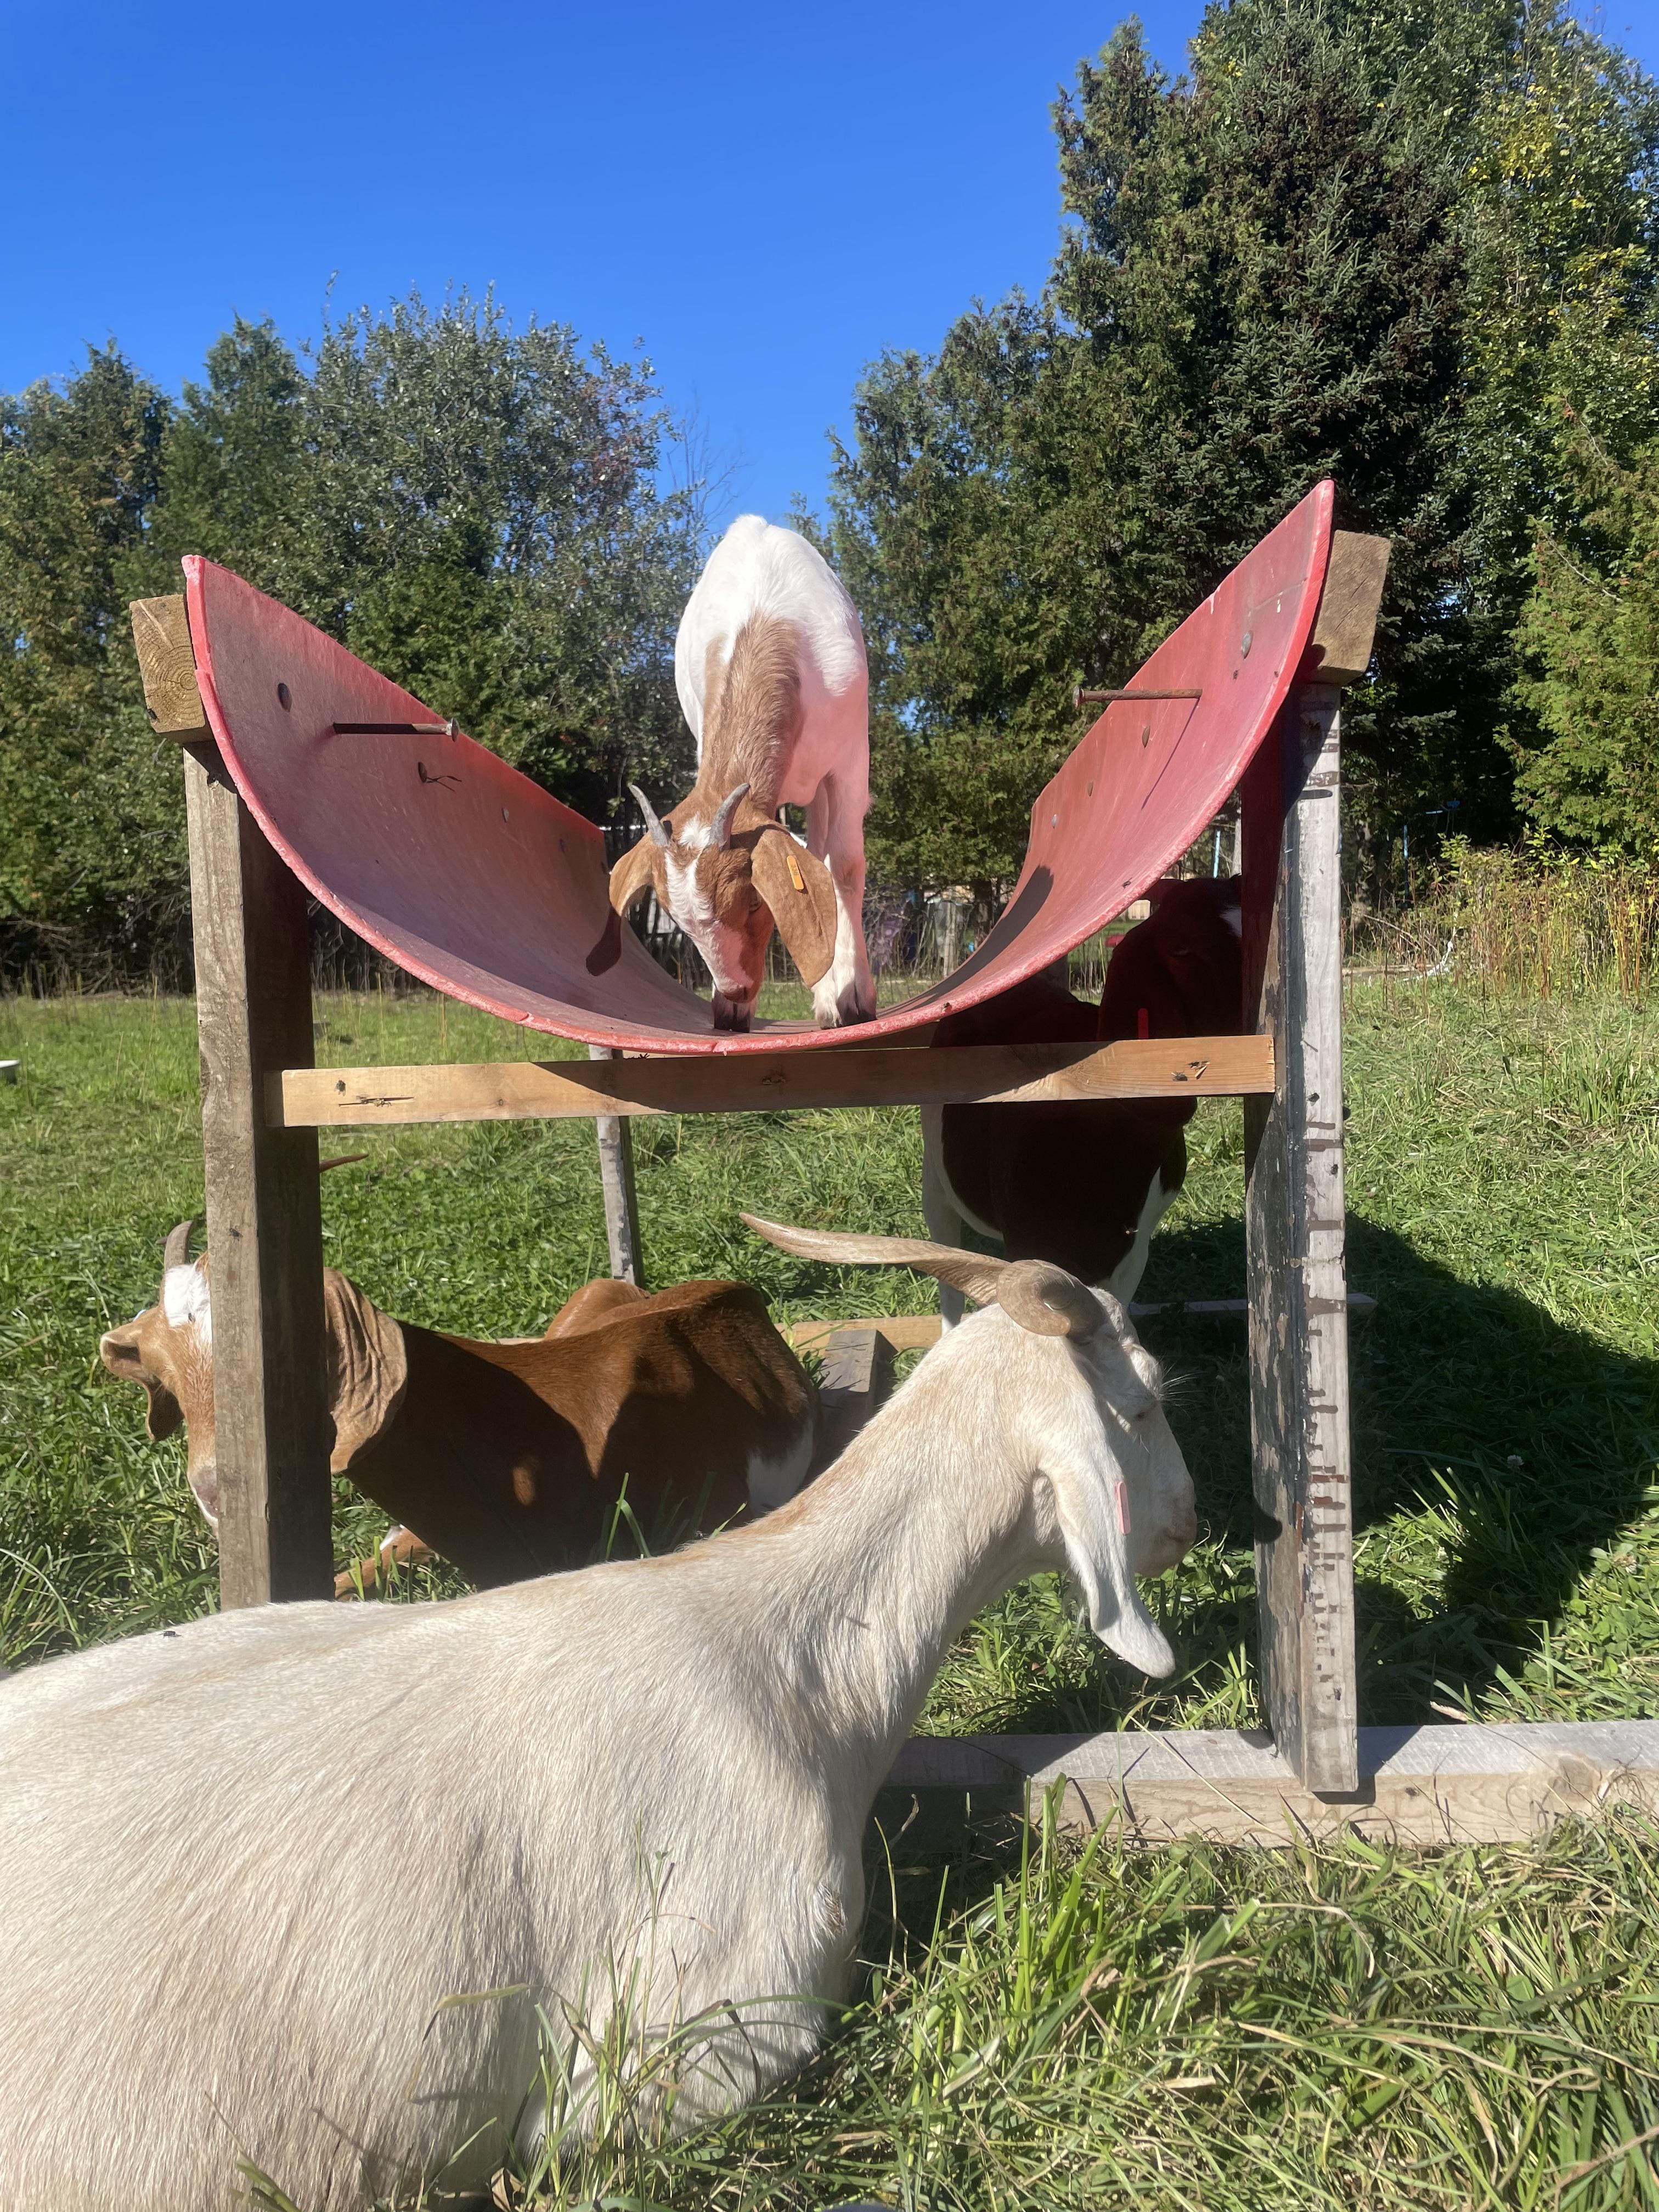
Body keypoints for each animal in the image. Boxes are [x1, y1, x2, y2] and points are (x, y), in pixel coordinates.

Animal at [610, 516, 876, 1030]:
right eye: (678, 922)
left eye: (754, 901)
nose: (736, 989)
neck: (764, 617)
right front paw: (731, 1008)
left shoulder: (851, 757)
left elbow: (846, 866)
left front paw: (855, 998)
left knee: (826, 854)